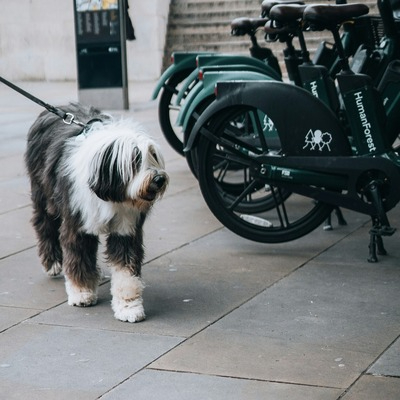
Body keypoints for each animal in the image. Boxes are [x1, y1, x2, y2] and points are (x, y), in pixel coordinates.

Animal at [25, 102, 169, 322]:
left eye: (153, 154)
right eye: (135, 159)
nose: (159, 179)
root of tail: (58, 107)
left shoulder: (125, 229)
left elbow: (125, 270)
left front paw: (129, 306)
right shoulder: (78, 223)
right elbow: (78, 257)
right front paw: (81, 292)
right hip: (43, 194)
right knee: (44, 225)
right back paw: (52, 262)